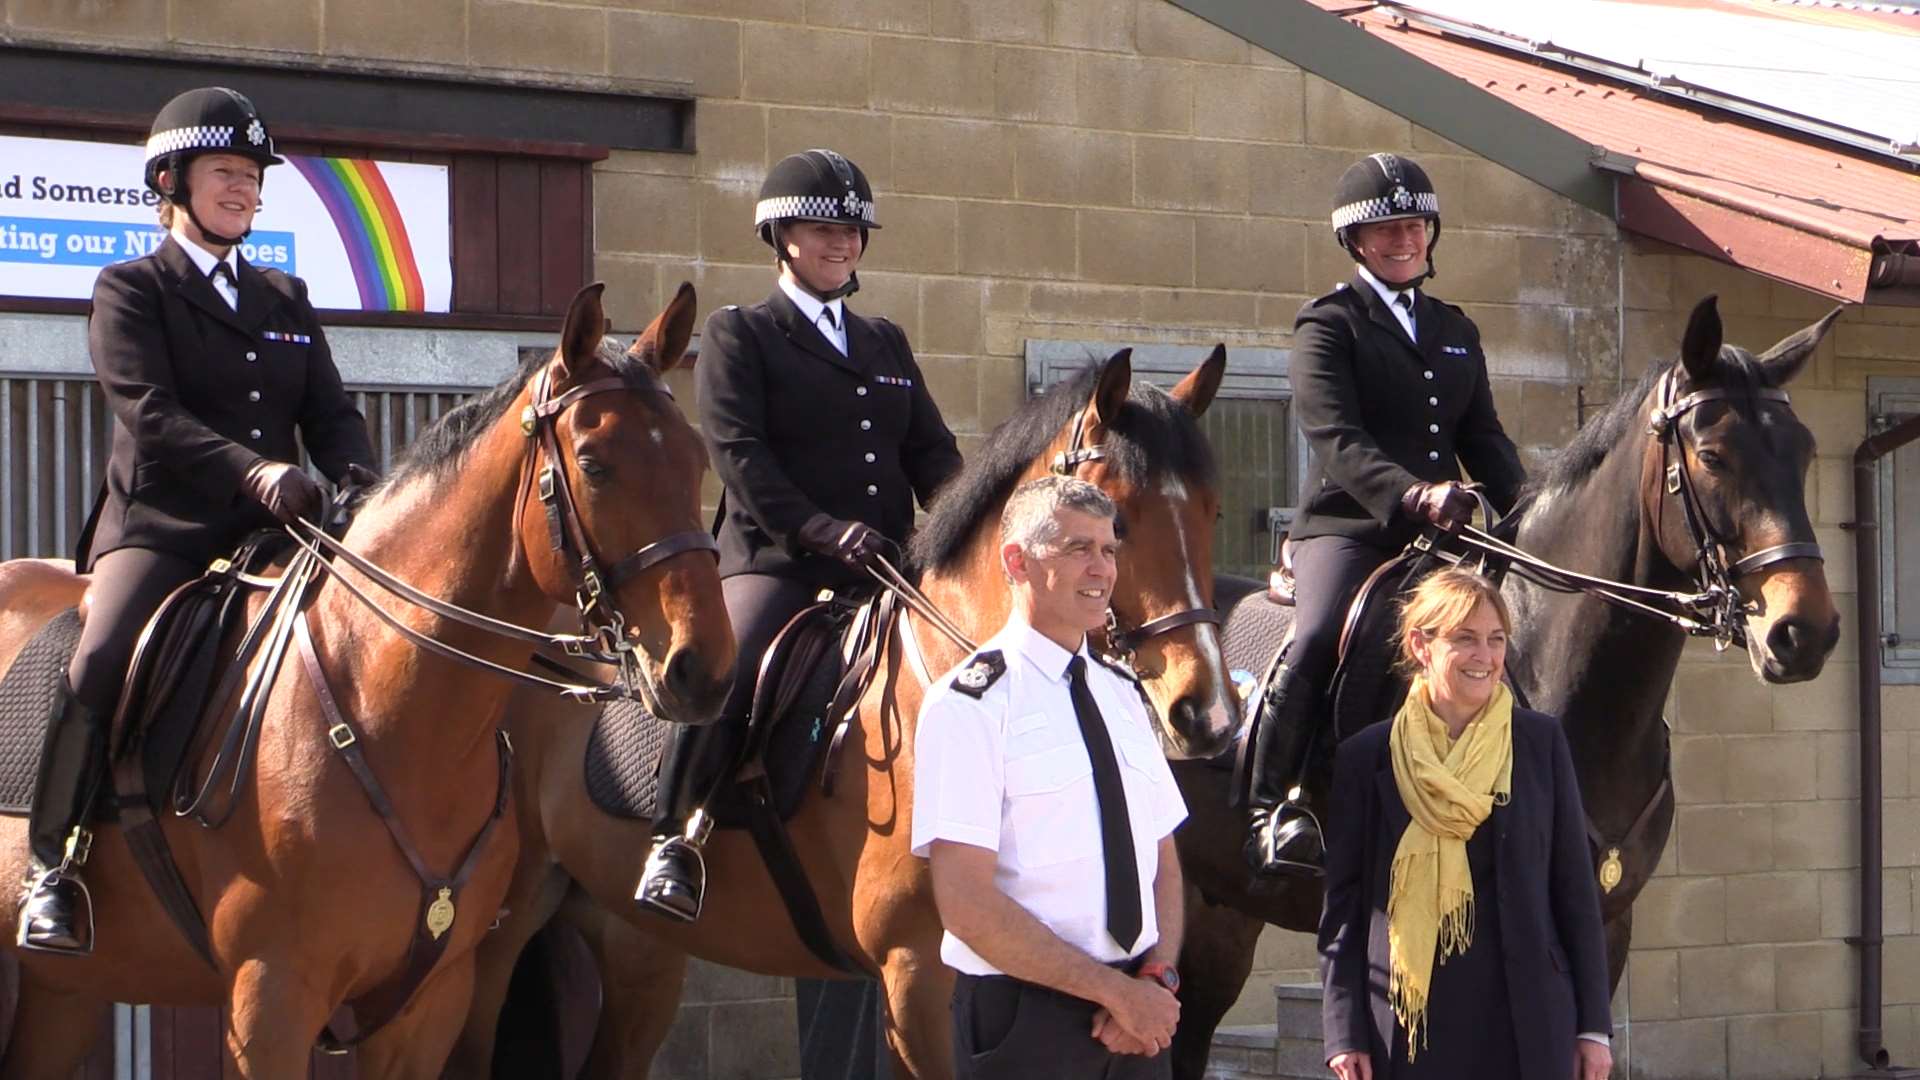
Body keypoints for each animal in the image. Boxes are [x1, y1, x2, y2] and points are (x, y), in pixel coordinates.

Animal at [0, 282, 733, 1068]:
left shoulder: (429, 1007)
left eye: (696, 457)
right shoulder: (271, 999)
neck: (392, 716)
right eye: (594, 465)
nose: (702, 670)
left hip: (65, 990)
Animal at [445, 349, 1244, 1068]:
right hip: (491, 943)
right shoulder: (919, 976)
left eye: (1212, 510)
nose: (1205, 713)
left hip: (632, 939)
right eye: (1117, 518)